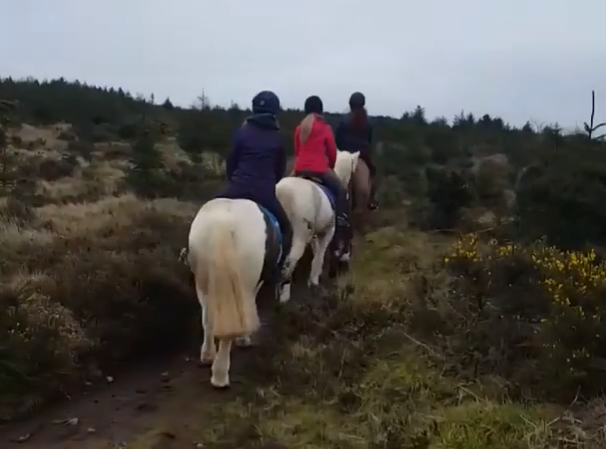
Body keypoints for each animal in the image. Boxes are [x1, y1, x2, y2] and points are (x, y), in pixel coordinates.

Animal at [185, 198, 282, 386]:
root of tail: (225, 222)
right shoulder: (253, 285)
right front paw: (244, 339)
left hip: (202, 282)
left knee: (208, 319)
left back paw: (208, 355)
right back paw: (220, 376)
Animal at [276, 149, 358, 302]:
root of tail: (283, 193)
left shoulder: (315, 233)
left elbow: (317, 251)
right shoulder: (329, 230)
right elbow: (320, 253)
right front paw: (314, 280)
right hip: (299, 237)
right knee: (289, 263)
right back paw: (284, 297)